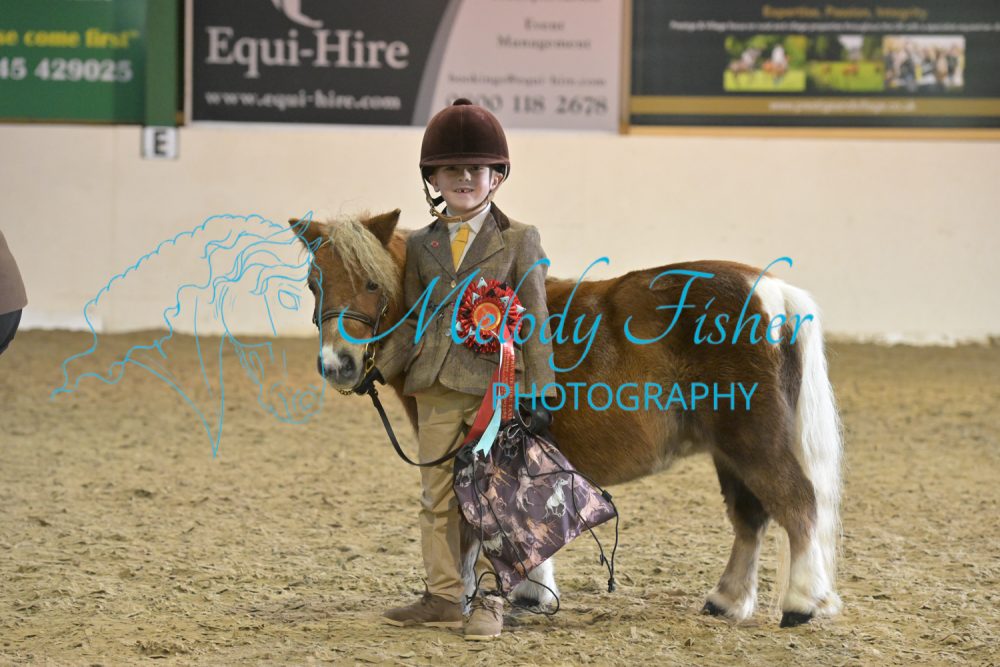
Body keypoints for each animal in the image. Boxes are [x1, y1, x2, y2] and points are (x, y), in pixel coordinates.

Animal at [290, 209, 843, 628]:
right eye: (315, 284)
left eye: (370, 283)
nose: (337, 364)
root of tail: (771, 291)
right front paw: (533, 592)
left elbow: (476, 526)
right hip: (729, 450)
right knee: (751, 520)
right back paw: (726, 601)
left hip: (754, 440)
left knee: (798, 504)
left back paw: (800, 603)